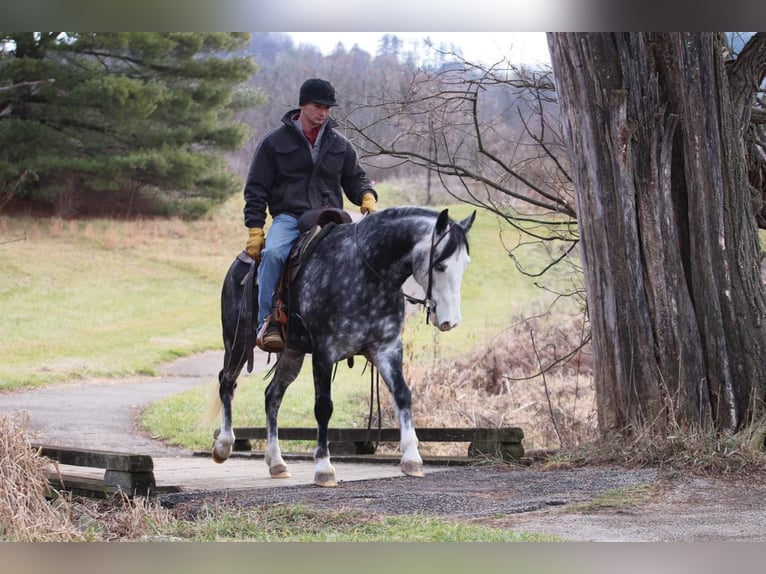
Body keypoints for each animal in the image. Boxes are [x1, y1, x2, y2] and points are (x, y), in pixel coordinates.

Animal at [212, 206, 474, 486]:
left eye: (465, 264)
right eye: (440, 265)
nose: (450, 321)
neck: (364, 273)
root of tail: (239, 264)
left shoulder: (387, 348)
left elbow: (403, 395)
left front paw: (412, 459)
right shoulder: (324, 353)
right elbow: (323, 407)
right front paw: (324, 468)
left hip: (292, 352)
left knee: (272, 396)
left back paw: (276, 462)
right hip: (238, 341)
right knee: (226, 382)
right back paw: (223, 445)